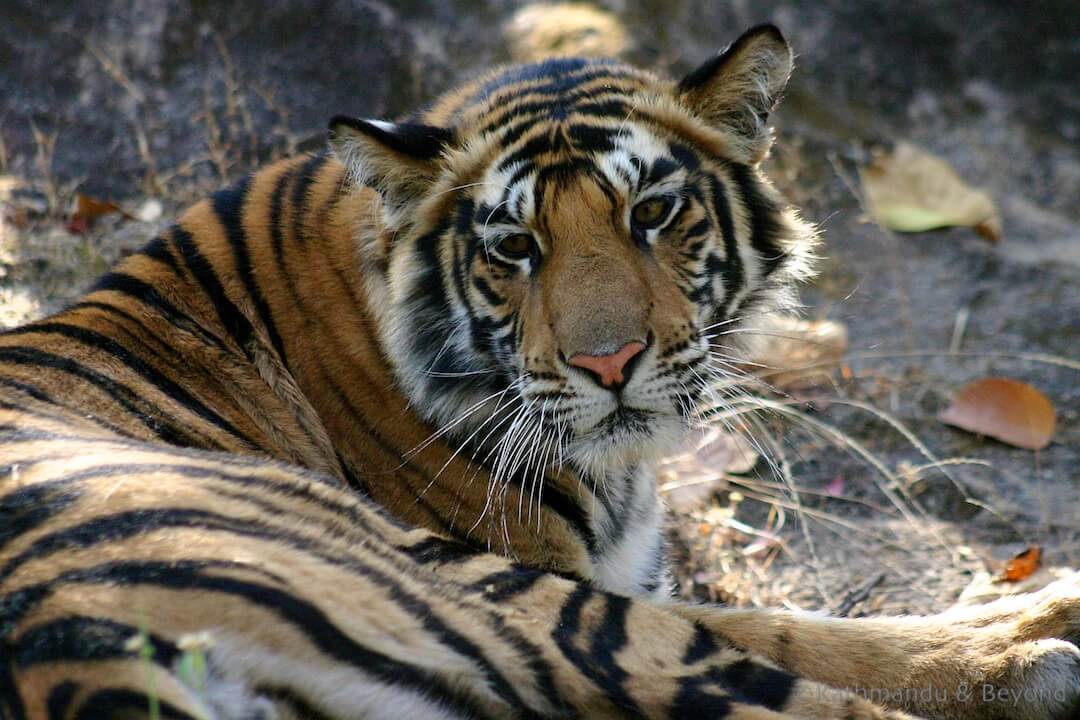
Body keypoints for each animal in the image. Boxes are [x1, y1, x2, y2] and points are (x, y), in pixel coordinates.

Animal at [2, 22, 1080, 720]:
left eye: (653, 214)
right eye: (514, 247)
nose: (610, 362)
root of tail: (67, 652)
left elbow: (781, 619)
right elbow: (783, 628)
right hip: (477, 590)